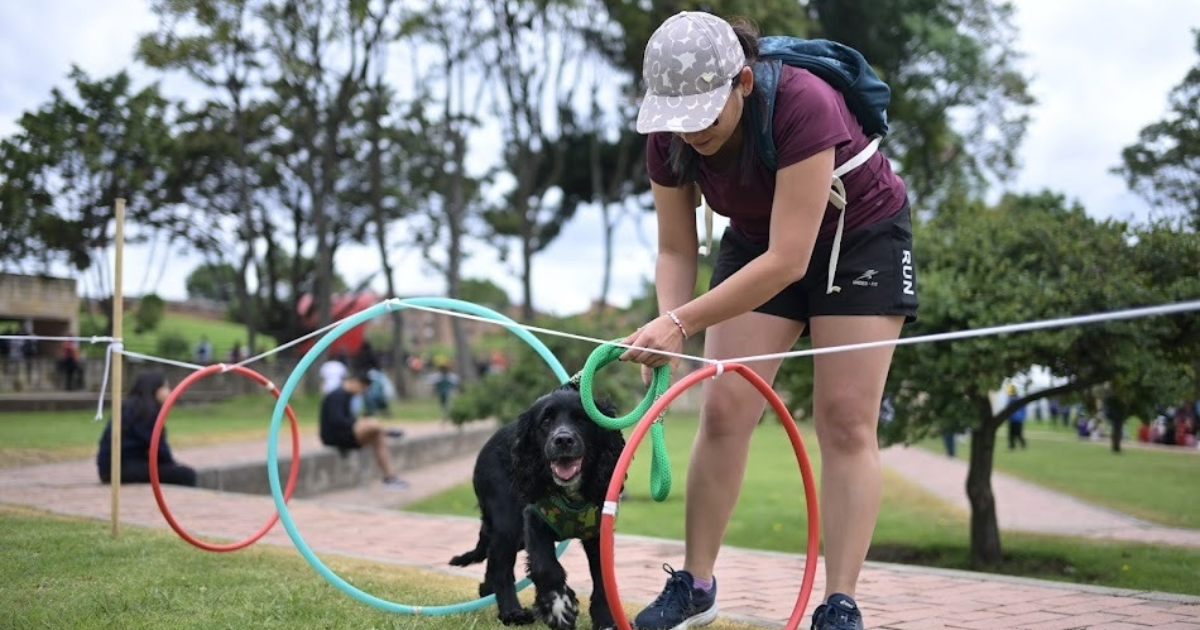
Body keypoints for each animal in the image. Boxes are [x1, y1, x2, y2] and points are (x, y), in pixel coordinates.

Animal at [448, 384, 619, 628]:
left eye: (582, 420)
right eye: (546, 421)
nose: (563, 440)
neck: (569, 494)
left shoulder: (598, 531)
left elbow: (603, 578)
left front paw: (605, 620)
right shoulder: (534, 520)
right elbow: (546, 568)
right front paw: (559, 608)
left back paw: (488, 591)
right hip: (508, 523)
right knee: (501, 567)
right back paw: (512, 612)